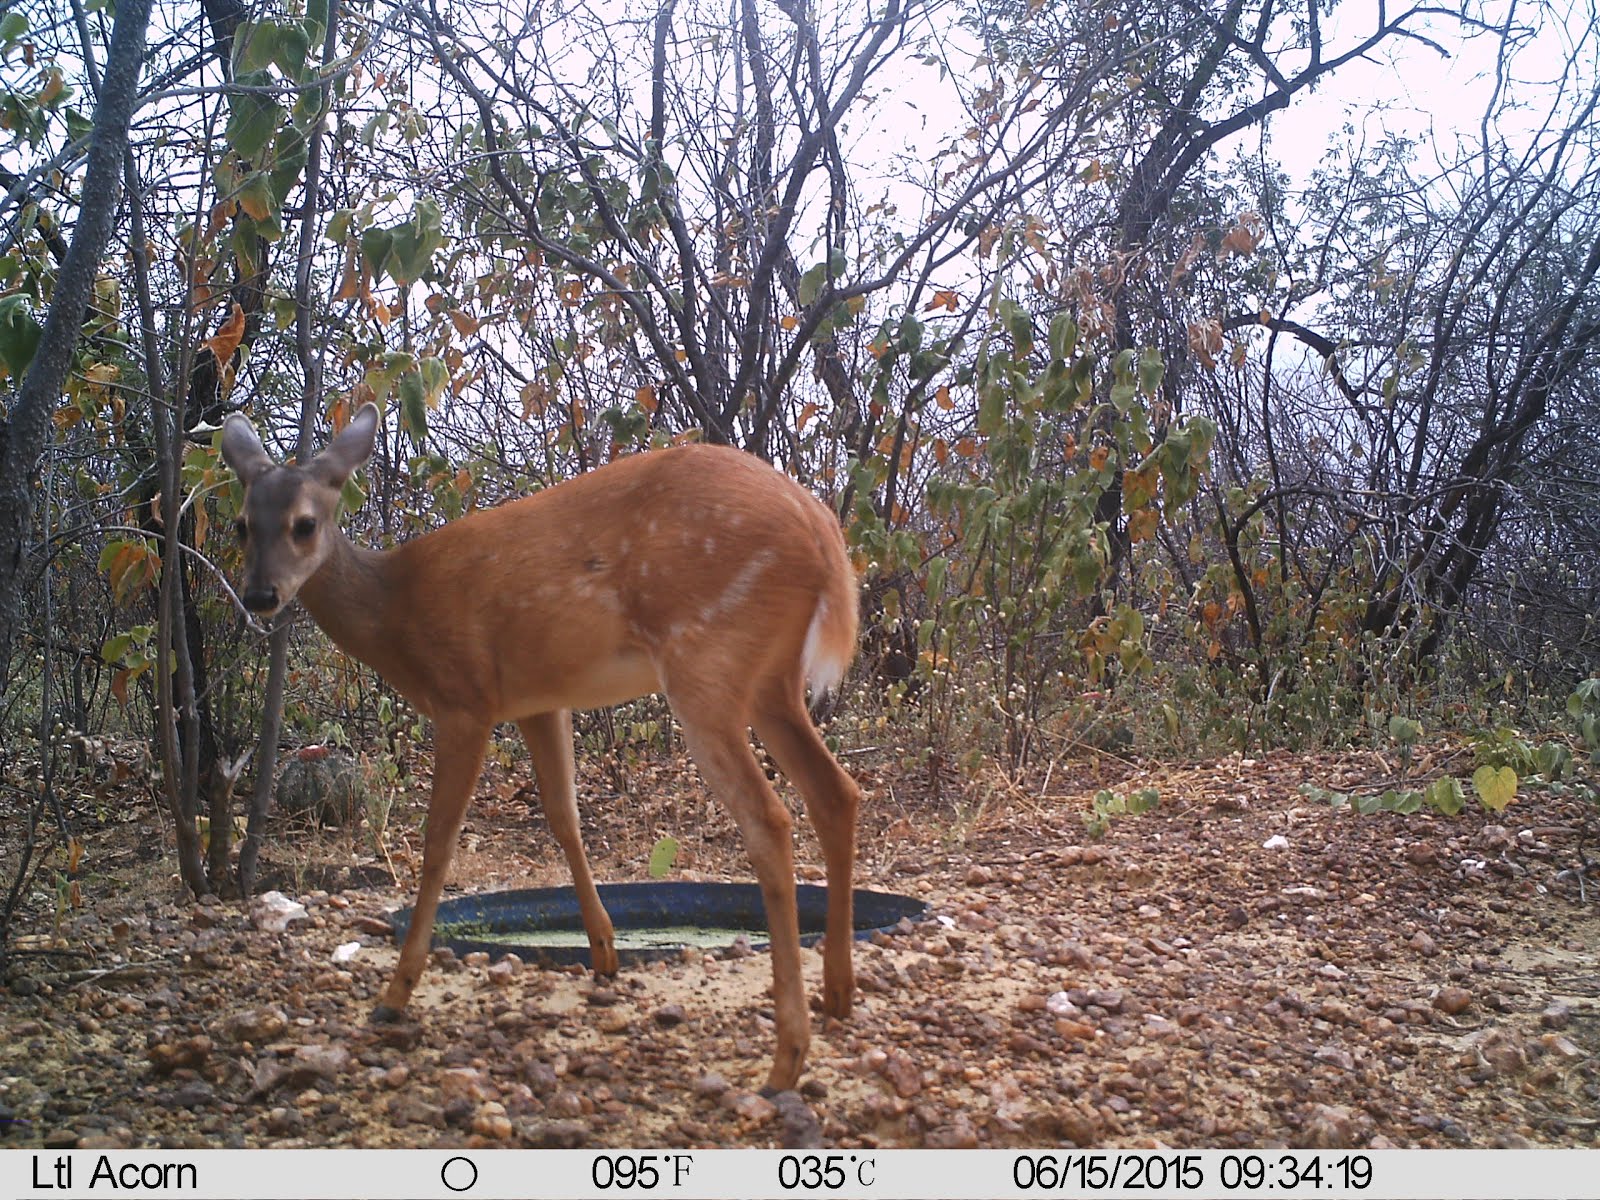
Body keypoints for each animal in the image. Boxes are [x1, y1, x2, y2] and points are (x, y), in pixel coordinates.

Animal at [222, 406, 864, 1100]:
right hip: (771, 681)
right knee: (836, 792)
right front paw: (605, 954)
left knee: (769, 820)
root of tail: (825, 537)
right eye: (242, 523)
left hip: (706, 662)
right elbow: (563, 816)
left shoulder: (464, 699)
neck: (394, 610)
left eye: (304, 523)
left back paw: (785, 1060)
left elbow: (438, 843)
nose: (259, 596)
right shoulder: (538, 701)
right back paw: (838, 994)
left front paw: (395, 994)